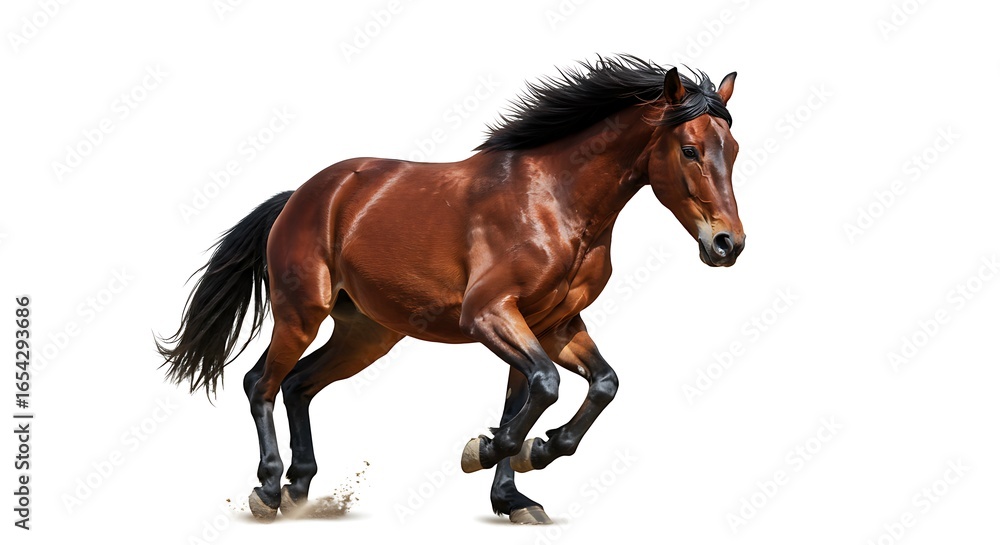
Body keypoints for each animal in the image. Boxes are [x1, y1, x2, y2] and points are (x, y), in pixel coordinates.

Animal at [157, 54, 744, 524]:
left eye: (733, 149)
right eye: (690, 150)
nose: (728, 244)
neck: (555, 203)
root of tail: (303, 195)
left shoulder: (552, 325)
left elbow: (591, 386)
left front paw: (519, 486)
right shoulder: (489, 314)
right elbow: (545, 388)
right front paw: (484, 450)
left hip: (366, 334)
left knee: (299, 384)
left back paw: (300, 489)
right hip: (301, 314)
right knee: (261, 383)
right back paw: (268, 490)